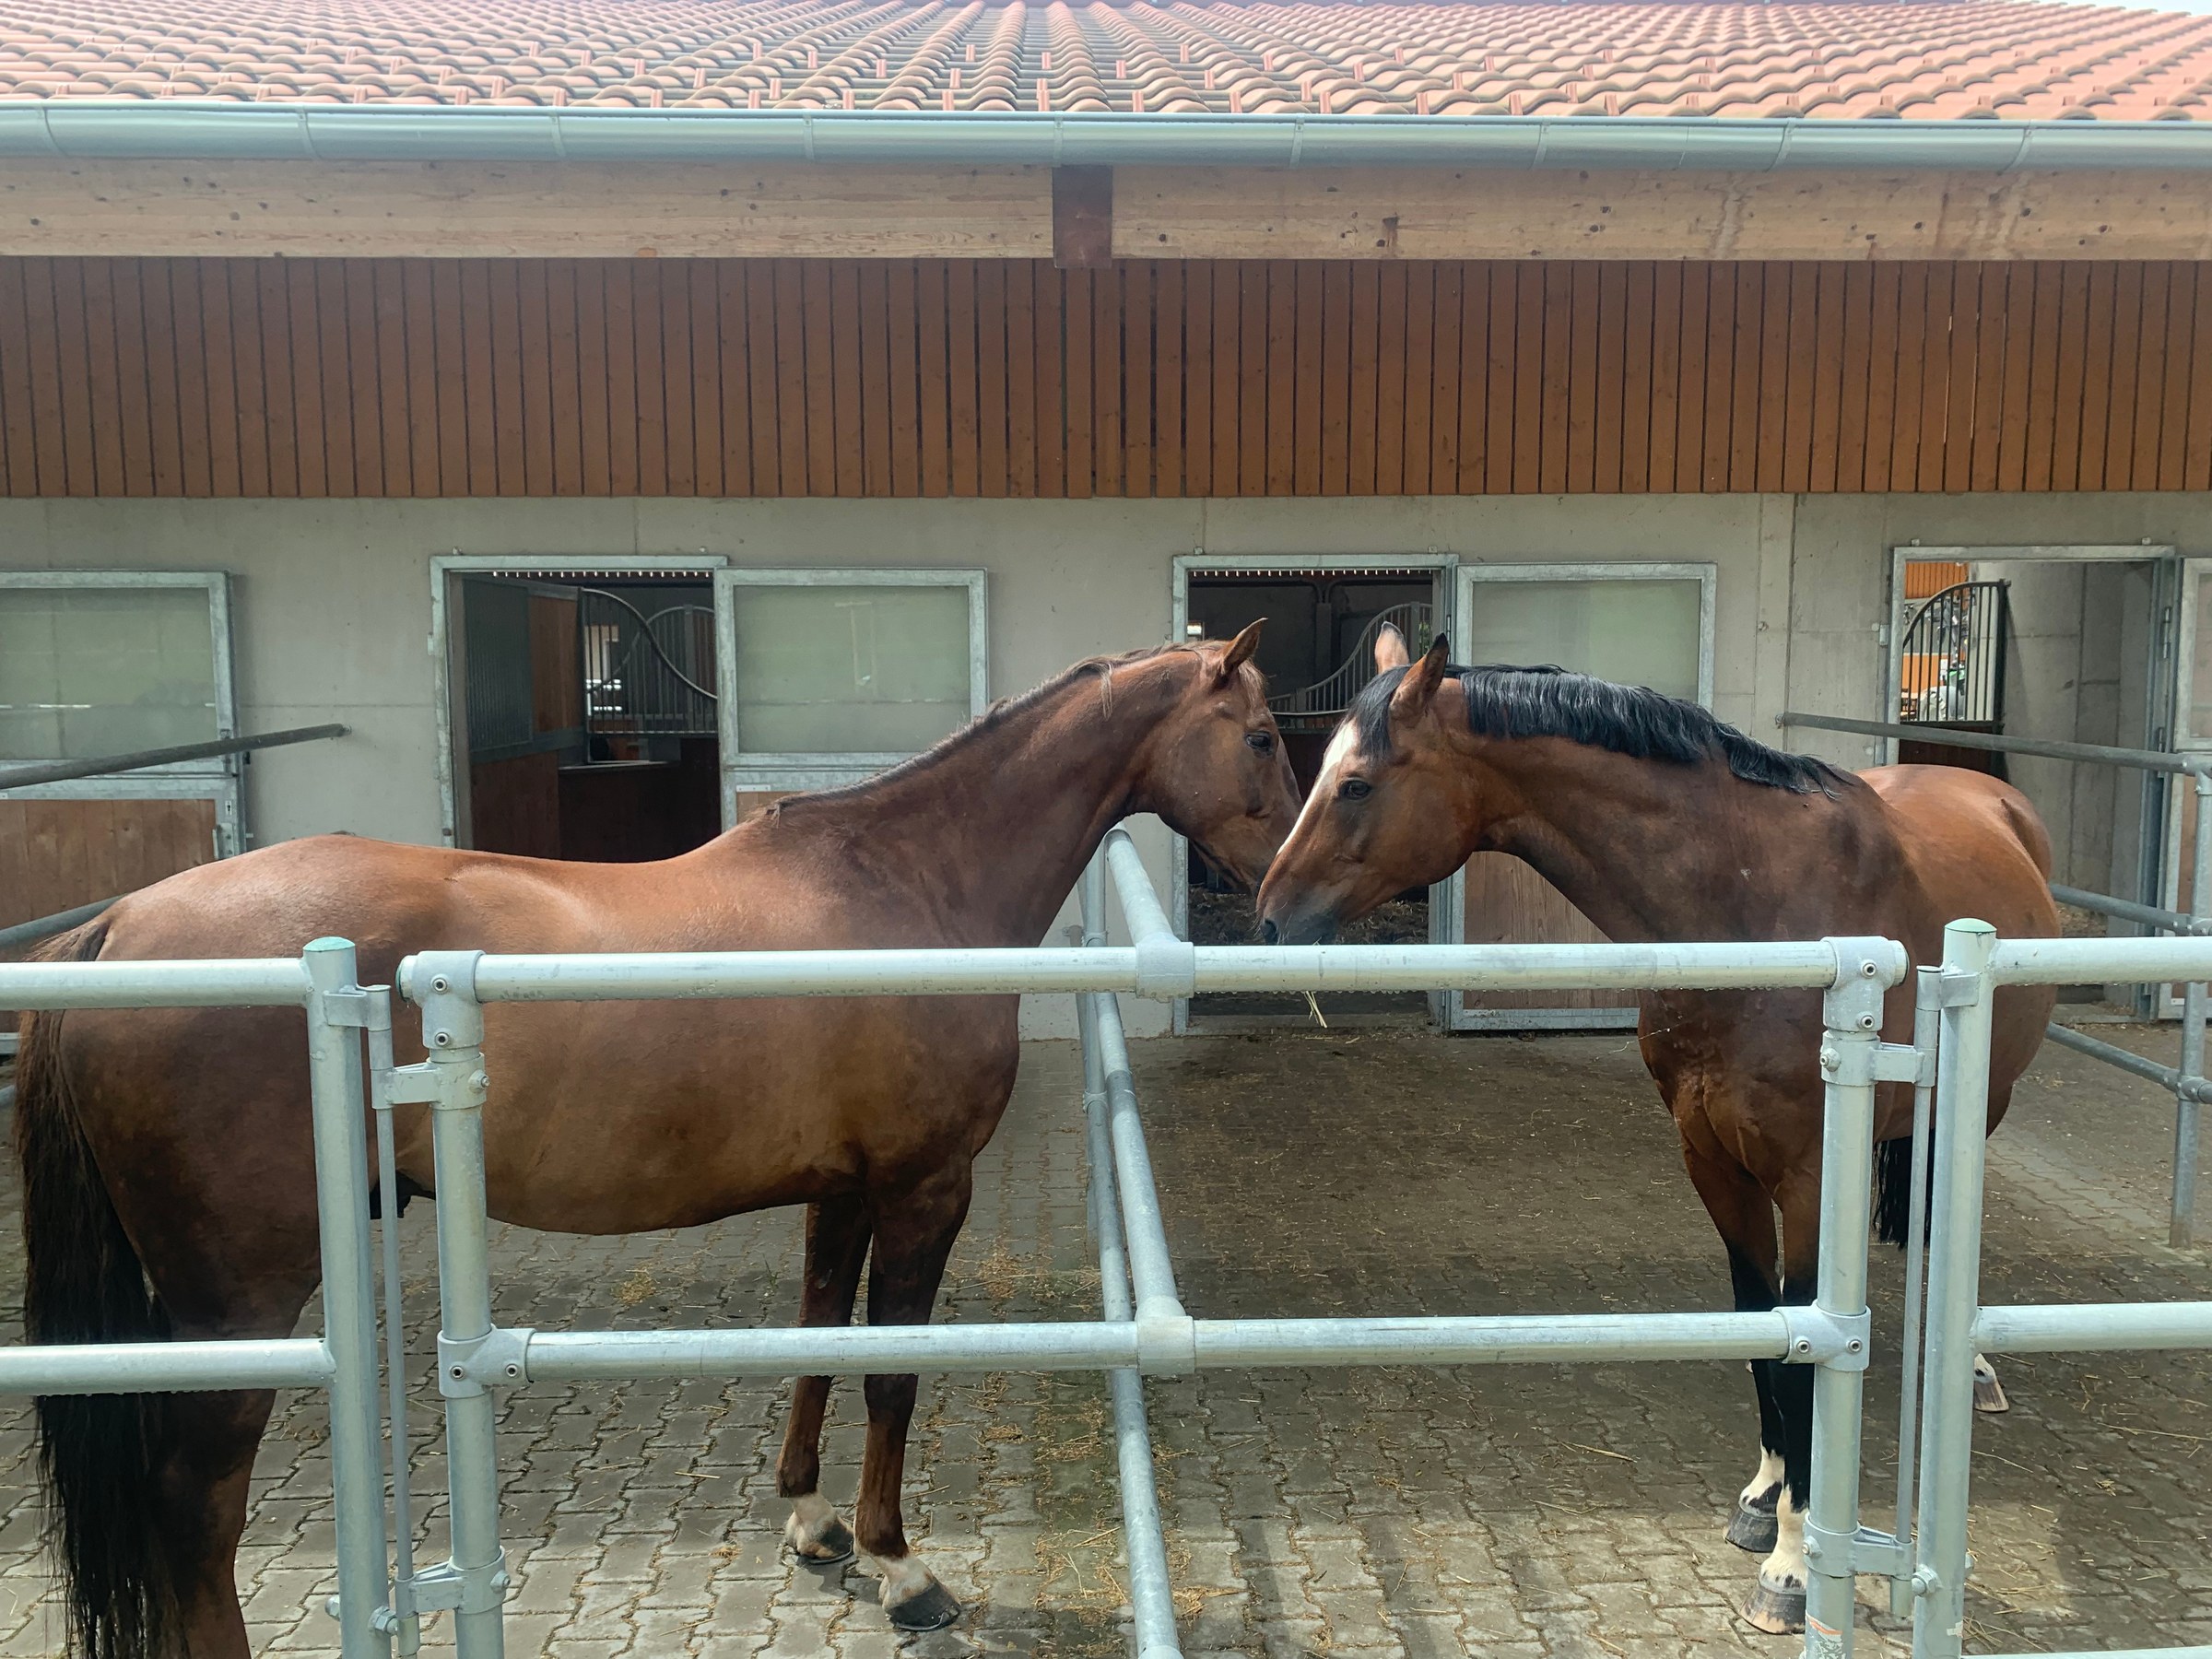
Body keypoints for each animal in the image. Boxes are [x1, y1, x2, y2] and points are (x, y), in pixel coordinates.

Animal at [14, 628, 1301, 1659]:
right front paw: (901, 1566)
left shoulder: (843, 1190)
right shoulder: (926, 1187)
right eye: (1263, 739)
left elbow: (822, 1333)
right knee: (192, 1505)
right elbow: (891, 1368)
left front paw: (813, 1524)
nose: (1286, 905)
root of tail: (120, 923)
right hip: (236, 1300)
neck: (908, 884)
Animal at [1254, 629, 2056, 1635]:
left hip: (1986, 1103)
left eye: (1356, 784)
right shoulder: (1710, 1159)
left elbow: (1807, 1339)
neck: (1753, 908)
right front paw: (1763, 1498)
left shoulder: (1808, 1175)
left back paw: (1974, 1366)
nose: (1269, 916)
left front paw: (1792, 1565)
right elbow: (1762, 1325)